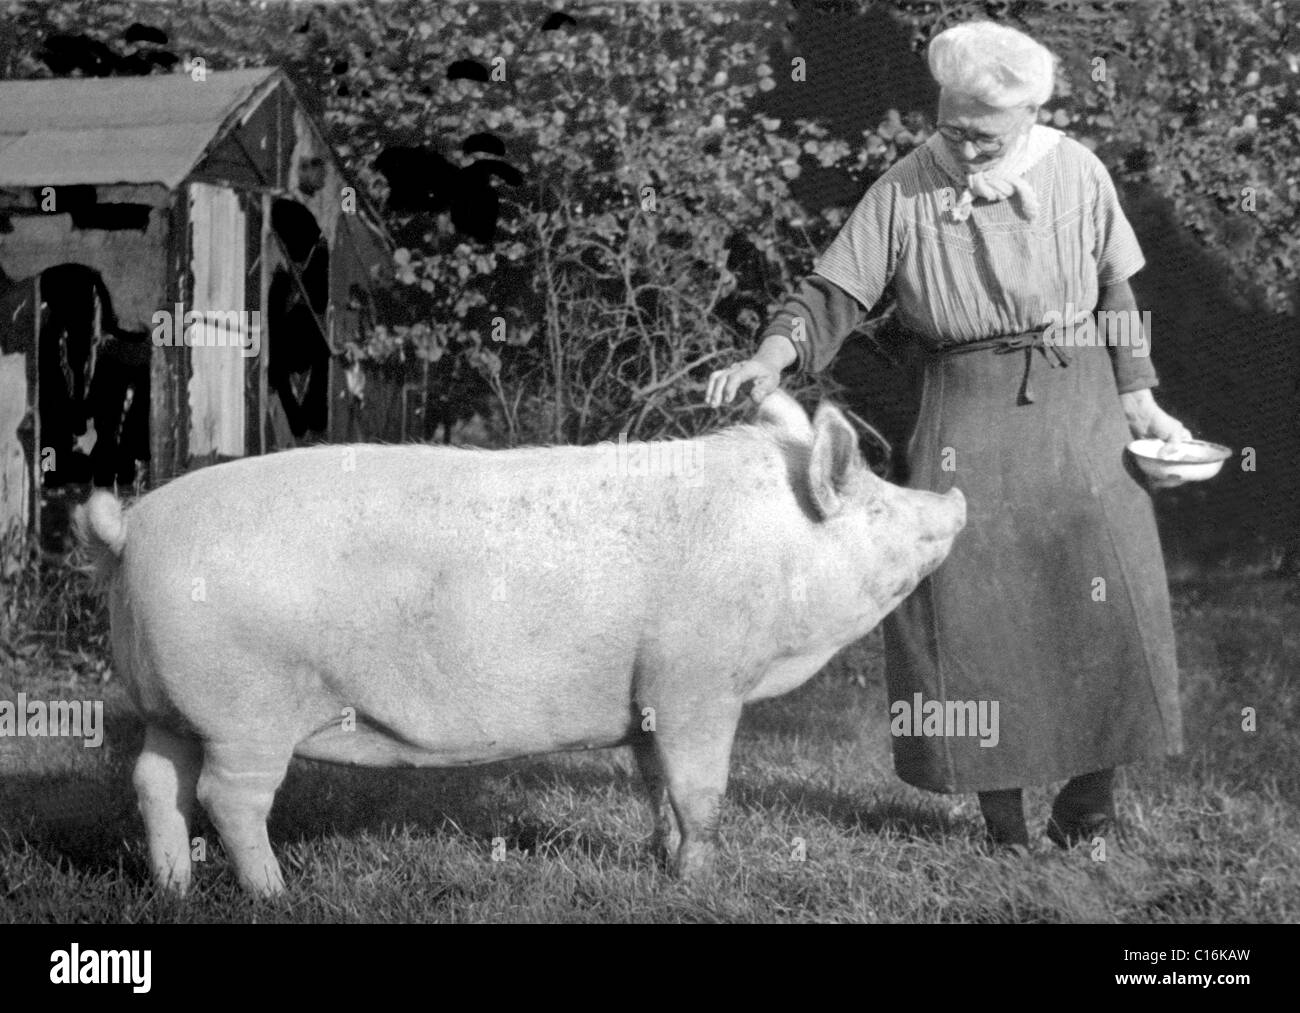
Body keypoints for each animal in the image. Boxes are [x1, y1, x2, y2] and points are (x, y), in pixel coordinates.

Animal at [75, 391, 964, 896]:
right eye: (876, 506)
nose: (953, 500)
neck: (778, 549)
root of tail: (133, 527)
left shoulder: (647, 695)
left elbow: (657, 786)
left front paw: (661, 859)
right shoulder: (696, 684)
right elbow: (702, 792)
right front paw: (701, 881)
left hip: (170, 705)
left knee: (155, 782)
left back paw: (175, 891)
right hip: (246, 710)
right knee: (228, 797)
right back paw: (273, 894)